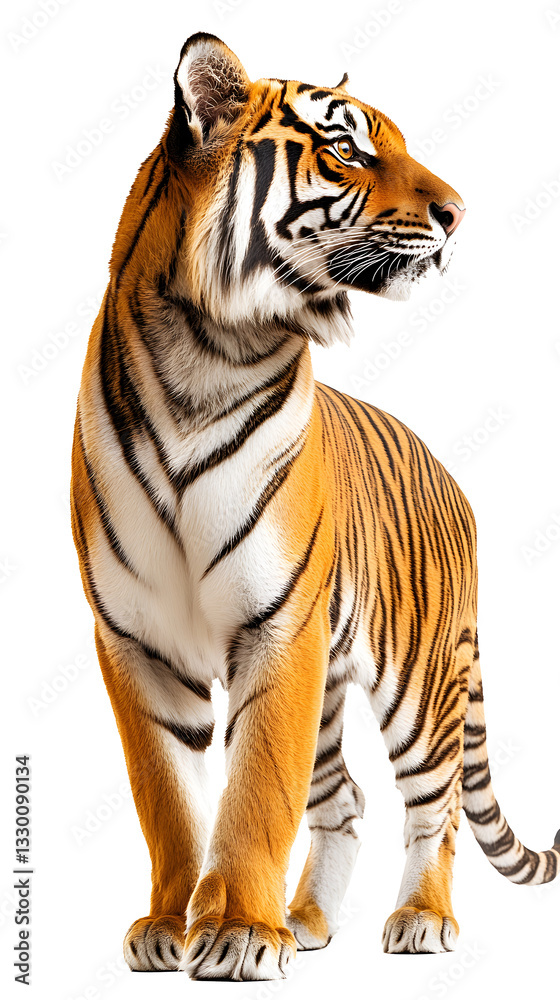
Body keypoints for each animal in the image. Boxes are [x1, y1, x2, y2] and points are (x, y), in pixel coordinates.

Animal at [70, 31, 560, 982]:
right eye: (347, 149)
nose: (458, 213)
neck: (204, 355)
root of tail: (453, 478)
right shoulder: (136, 639)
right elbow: (169, 797)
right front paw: (171, 923)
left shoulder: (278, 629)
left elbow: (259, 789)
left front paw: (236, 933)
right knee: (347, 798)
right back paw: (306, 919)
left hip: (420, 678)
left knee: (436, 802)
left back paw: (420, 917)